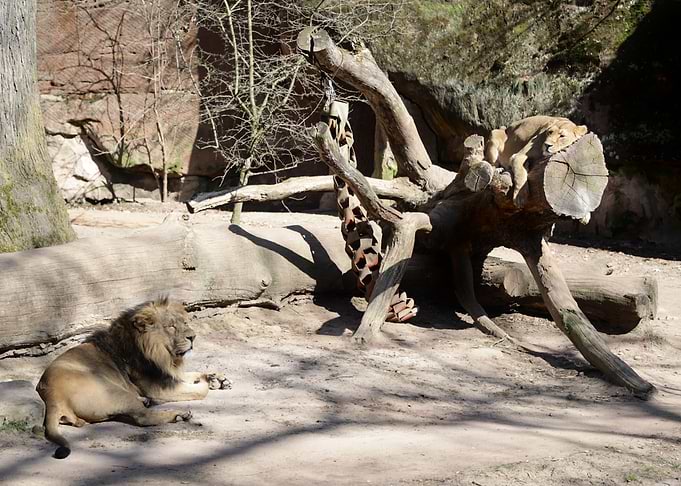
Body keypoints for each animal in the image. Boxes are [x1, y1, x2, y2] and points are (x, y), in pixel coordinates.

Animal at [36, 297, 230, 459]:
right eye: (171, 326)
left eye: (185, 322)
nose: (193, 337)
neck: (161, 355)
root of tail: (51, 397)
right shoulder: (159, 389)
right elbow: (198, 391)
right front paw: (207, 382)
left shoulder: (167, 375)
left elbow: (189, 374)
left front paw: (217, 378)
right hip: (113, 390)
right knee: (142, 417)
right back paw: (178, 414)